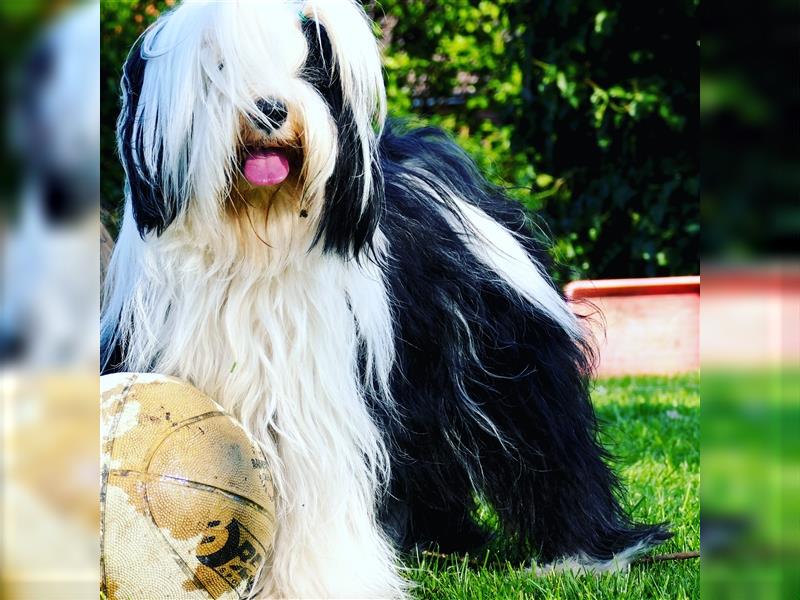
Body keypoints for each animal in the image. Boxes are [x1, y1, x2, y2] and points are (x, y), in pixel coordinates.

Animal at [103, 0, 672, 596]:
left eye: (312, 71)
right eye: (219, 69)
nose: (271, 109)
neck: (252, 250)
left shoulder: (315, 409)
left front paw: (319, 583)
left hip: (510, 367)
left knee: (551, 450)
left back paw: (584, 554)